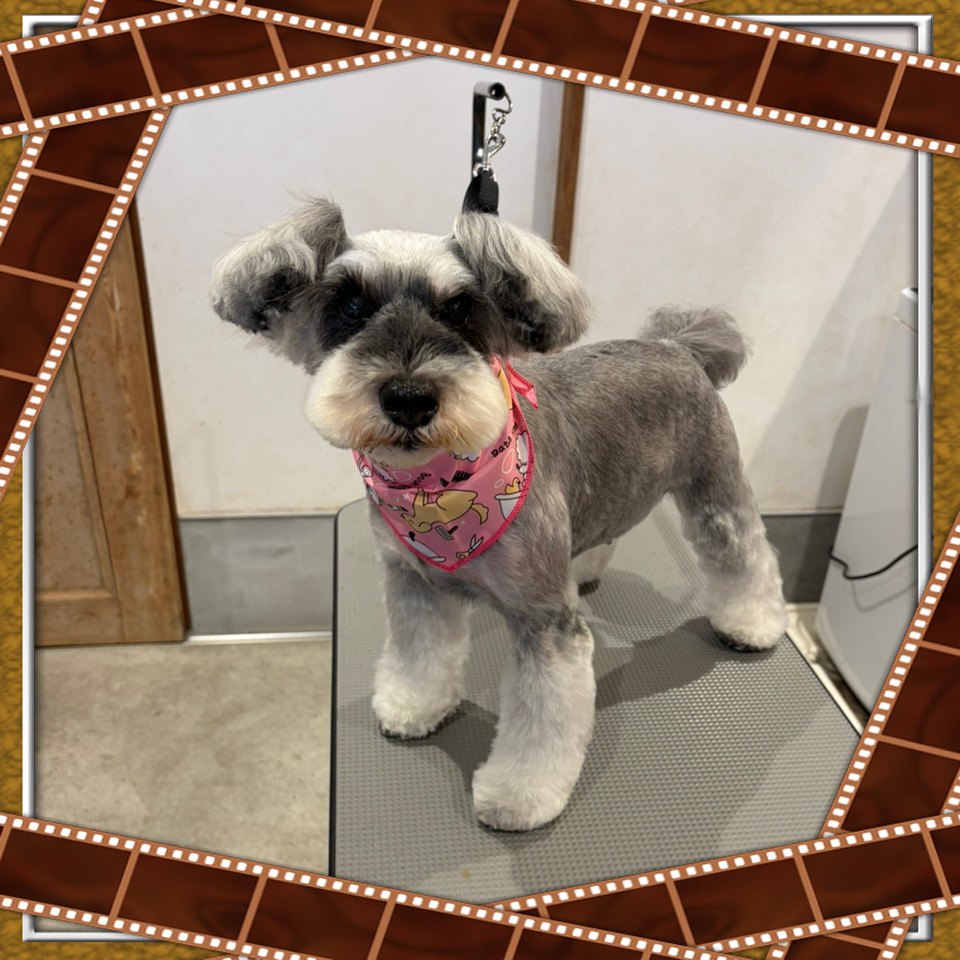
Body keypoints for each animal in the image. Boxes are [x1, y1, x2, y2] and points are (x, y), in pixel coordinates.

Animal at [211, 197, 787, 832]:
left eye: (461, 309)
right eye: (351, 306)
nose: (409, 398)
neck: (436, 488)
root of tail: (678, 346)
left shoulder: (545, 623)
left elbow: (543, 719)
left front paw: (520, 794)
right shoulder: (414, 582)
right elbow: (420, 655)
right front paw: (413, 704)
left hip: (715, 485)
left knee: (745, 552)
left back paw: (752, 622)